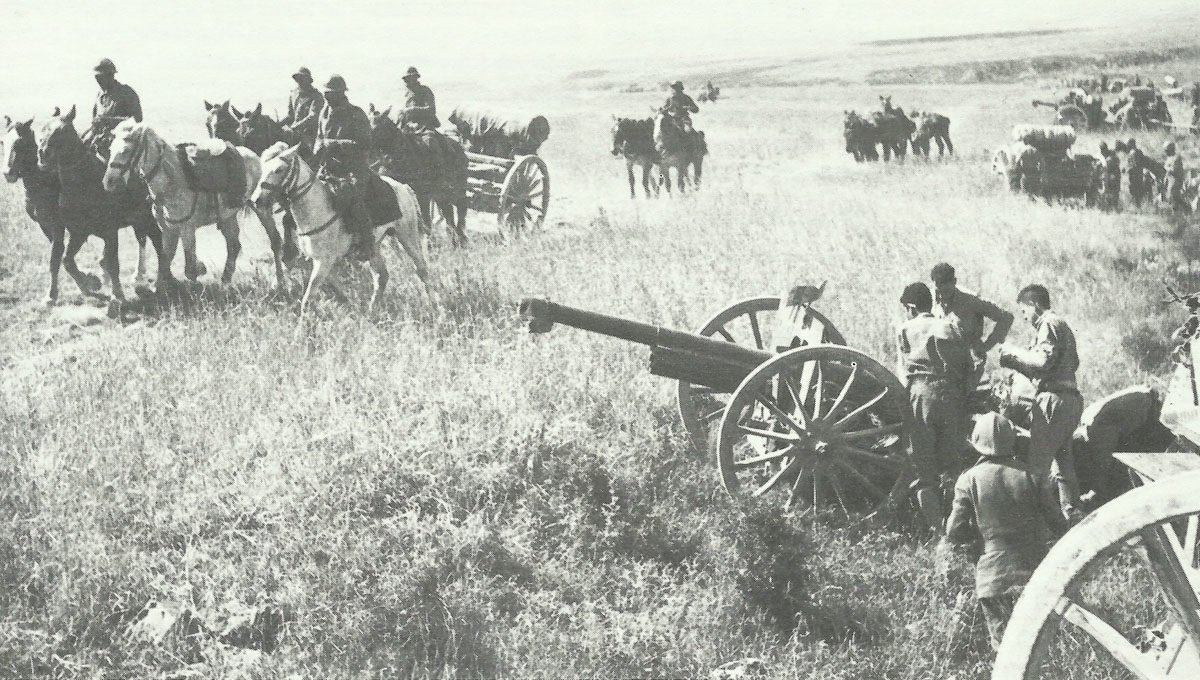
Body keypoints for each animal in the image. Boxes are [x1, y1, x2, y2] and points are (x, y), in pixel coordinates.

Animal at [36, 107, 162, 303]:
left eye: (62, 130)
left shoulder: (110, 232)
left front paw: (117, 295)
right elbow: (66, 260)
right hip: (138, 220)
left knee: (157, 241)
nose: (43, 153)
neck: (84, 183)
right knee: (142, 239)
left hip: (148, 218)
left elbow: (113, 262)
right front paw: (88, 284)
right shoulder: (78, 232)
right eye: (42, 129)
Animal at [102, 118, 286, 291]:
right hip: (228, 215)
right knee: (233, 245)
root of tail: (256, 156)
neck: (172, 182)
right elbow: (165, 259)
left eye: (125, 151)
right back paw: (225, 281)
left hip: (261, 208)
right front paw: (160, 289)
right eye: (110, 150)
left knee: (275, 241)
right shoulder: (167, 228)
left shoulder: (187, 229)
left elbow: (190, 268)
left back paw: (278, 281)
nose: (109, 182)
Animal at [253, 141, 436, 321]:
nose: (256, 200)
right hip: (374, 246)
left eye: (279, 170)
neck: (317, 208)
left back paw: (432, 306)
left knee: (422, 270)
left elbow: (308, 297)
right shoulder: (313, 258)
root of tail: (403, 187)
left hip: (407, 236)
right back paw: (371, 313)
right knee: (381, 276)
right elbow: (325, 285)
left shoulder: (323, 260)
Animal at [369, 102, 468, 245]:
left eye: (378, 128)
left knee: (460, 209)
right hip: (439, 194)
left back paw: (460, 239)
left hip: (455, 190)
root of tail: (460, 149)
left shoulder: (422, 194)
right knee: (448, 213)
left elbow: (425, 222)